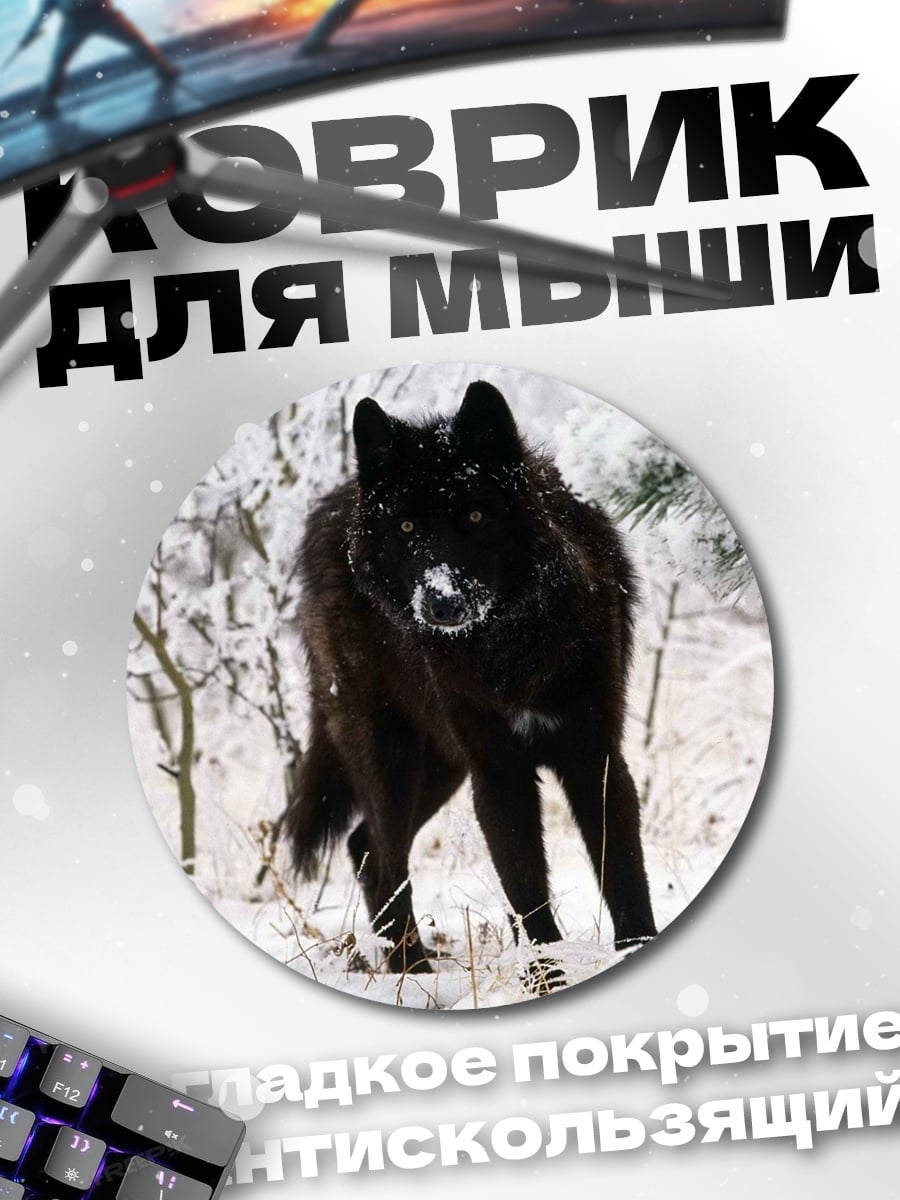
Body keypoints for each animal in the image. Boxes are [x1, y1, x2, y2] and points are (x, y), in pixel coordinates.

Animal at [284, 380, 657, 981]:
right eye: (406, 527)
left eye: (477, 516)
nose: (442, 602)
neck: (509, 647)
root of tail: (333, 506)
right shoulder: (498, 774)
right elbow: (526, 895)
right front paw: (544, 980)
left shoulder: (594, 757)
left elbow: (624, 876)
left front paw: (636, 952)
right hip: (392, 758)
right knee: (382, 855)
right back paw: (412, 973)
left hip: (441, 766)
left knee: (365, 847)